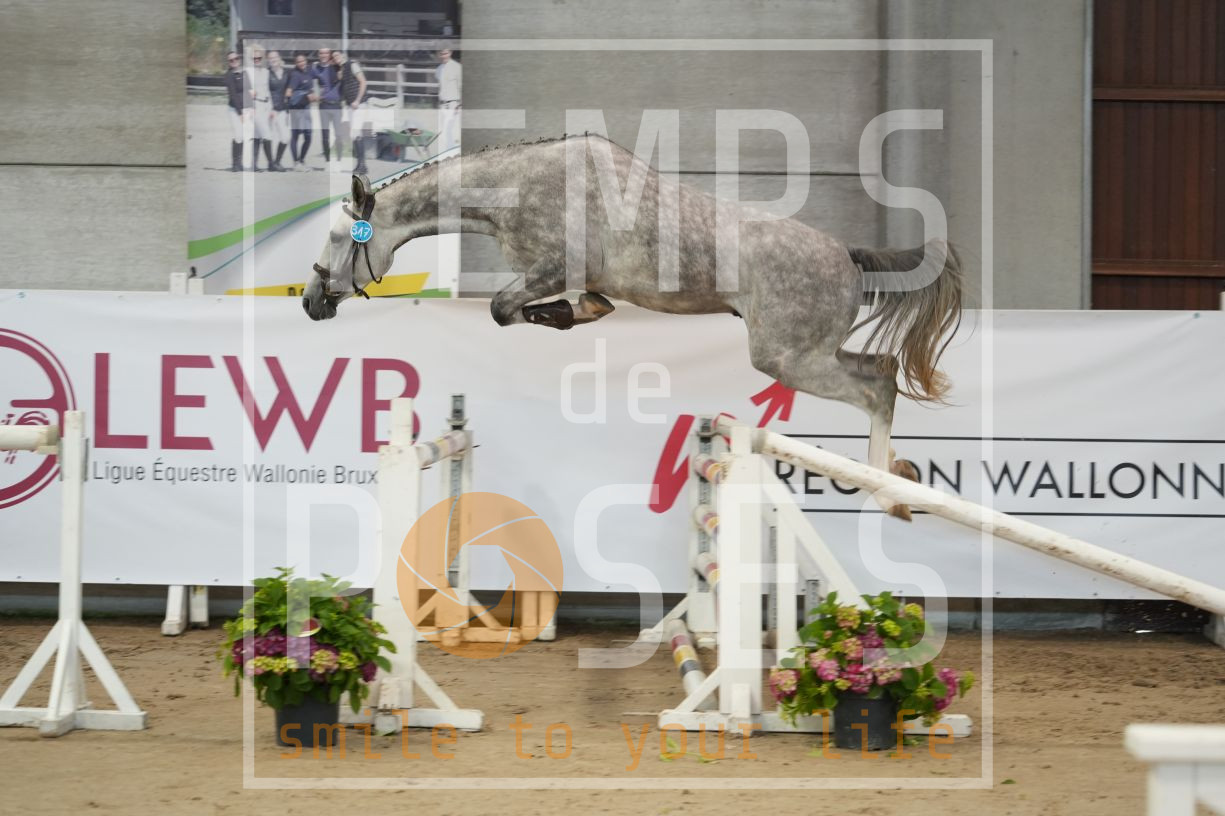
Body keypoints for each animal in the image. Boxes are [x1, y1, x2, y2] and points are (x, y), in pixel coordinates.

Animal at [303, 134, 962, 519]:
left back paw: (891, 492)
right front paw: (574, 316)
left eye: (337, 237)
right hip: (812, 354)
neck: (524, 186)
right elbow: (585, 307)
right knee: (883, 370)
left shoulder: (548, 270)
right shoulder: (584, 280)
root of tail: (846, 255)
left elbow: (503, 309)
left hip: (790, 358)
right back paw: (902, 474)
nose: (311, 301)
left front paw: (556, 316)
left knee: (877, 386)